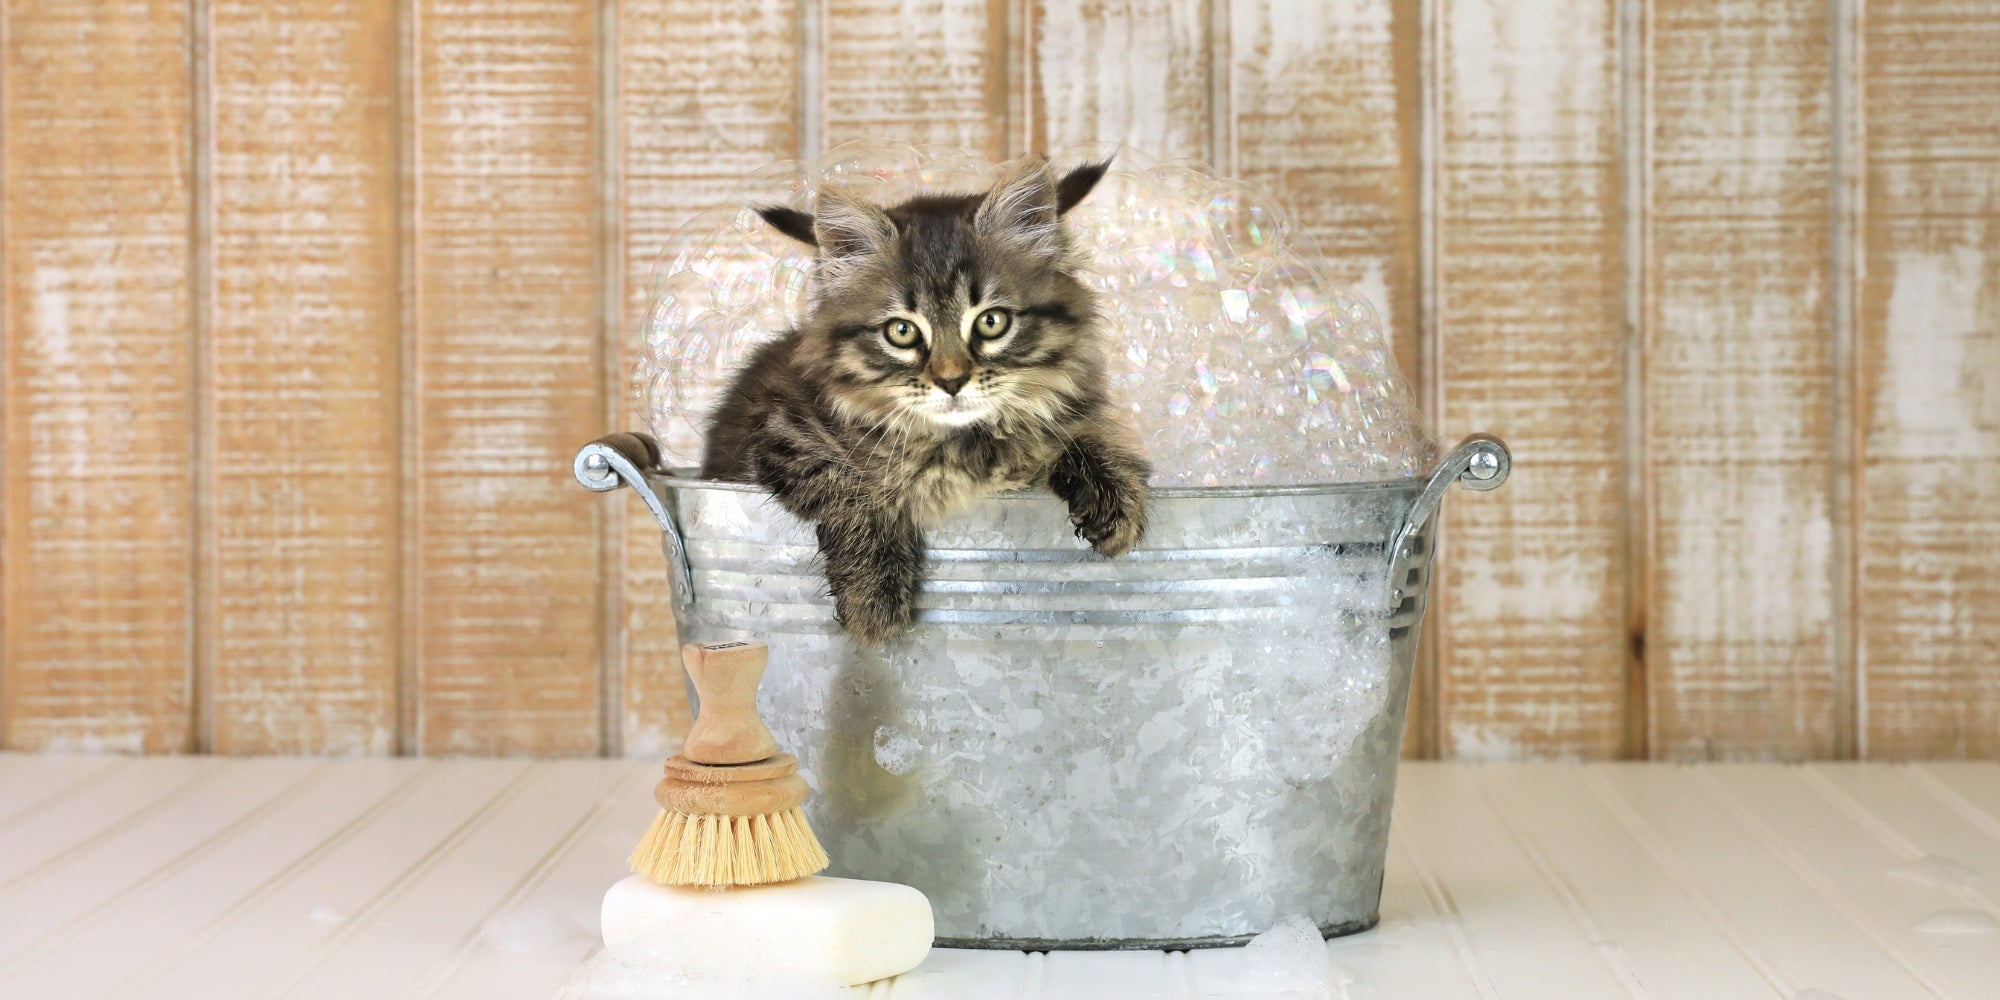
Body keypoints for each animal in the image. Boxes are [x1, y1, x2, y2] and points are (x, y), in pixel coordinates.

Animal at [700, 153, 1152, 644]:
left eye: (991, 321)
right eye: (902, 331)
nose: (952, 382)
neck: (961, 446)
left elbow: (1081, 434)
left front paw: (1115, 495)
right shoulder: (776, 428)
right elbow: (851, 489)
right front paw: (872, 595)